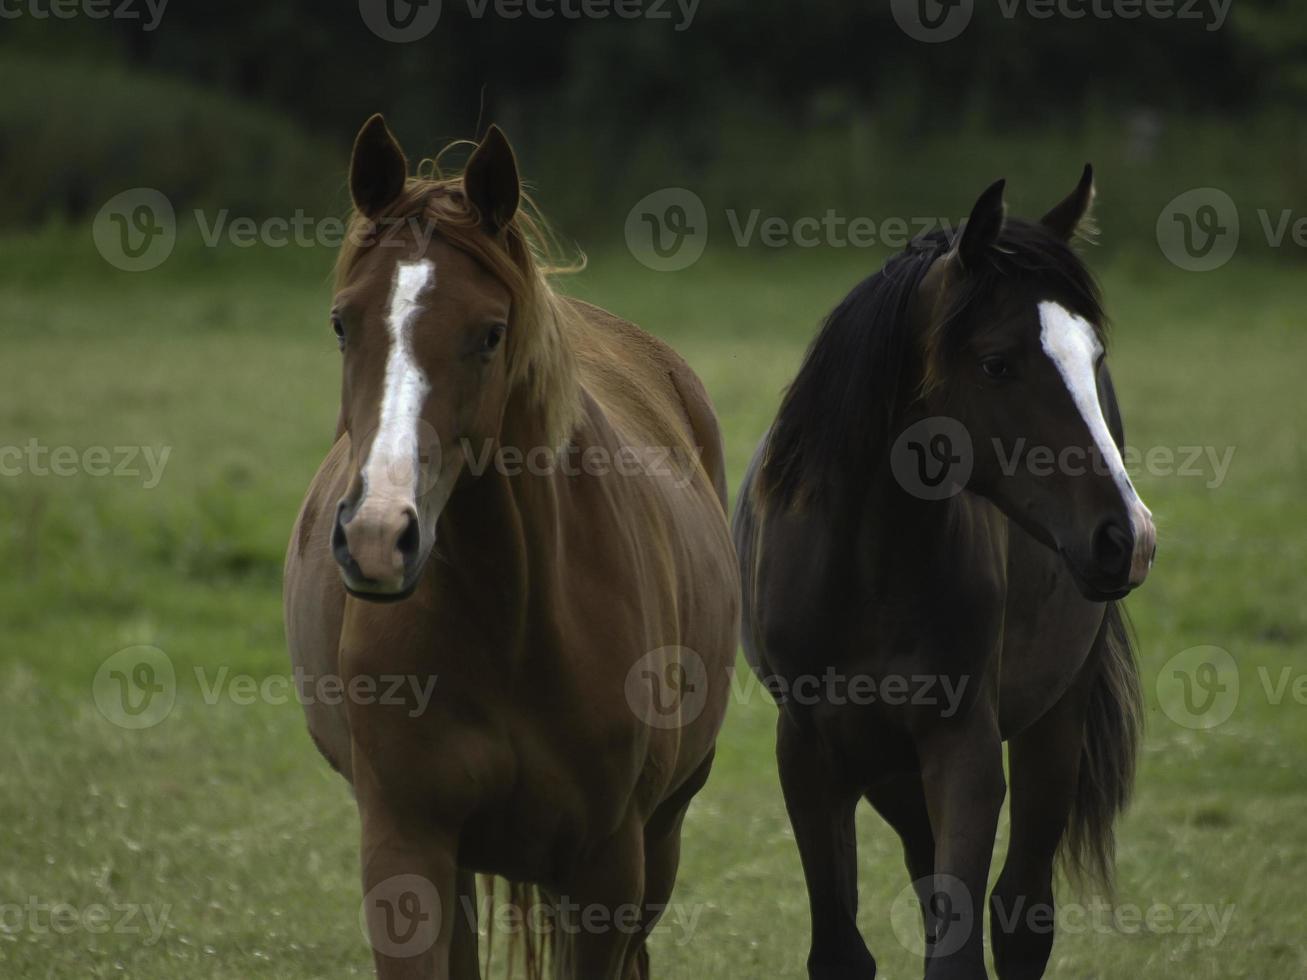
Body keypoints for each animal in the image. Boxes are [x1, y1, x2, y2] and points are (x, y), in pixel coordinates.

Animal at [284, 116, 737, 980]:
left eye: (489, 334)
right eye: (339, 323)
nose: (377, 537)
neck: (513, 617)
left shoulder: (607, 870)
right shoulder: (407, 849)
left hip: (657, 843)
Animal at [737, 171, 1155, 980]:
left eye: (1092, 357)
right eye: (996, 362)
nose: (1128, 538)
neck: (864, 571)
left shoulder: (965, 753)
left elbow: (962, 949)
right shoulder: (808, 757)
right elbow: (843, 949)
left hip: (1050, 723)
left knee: (1020, 912)